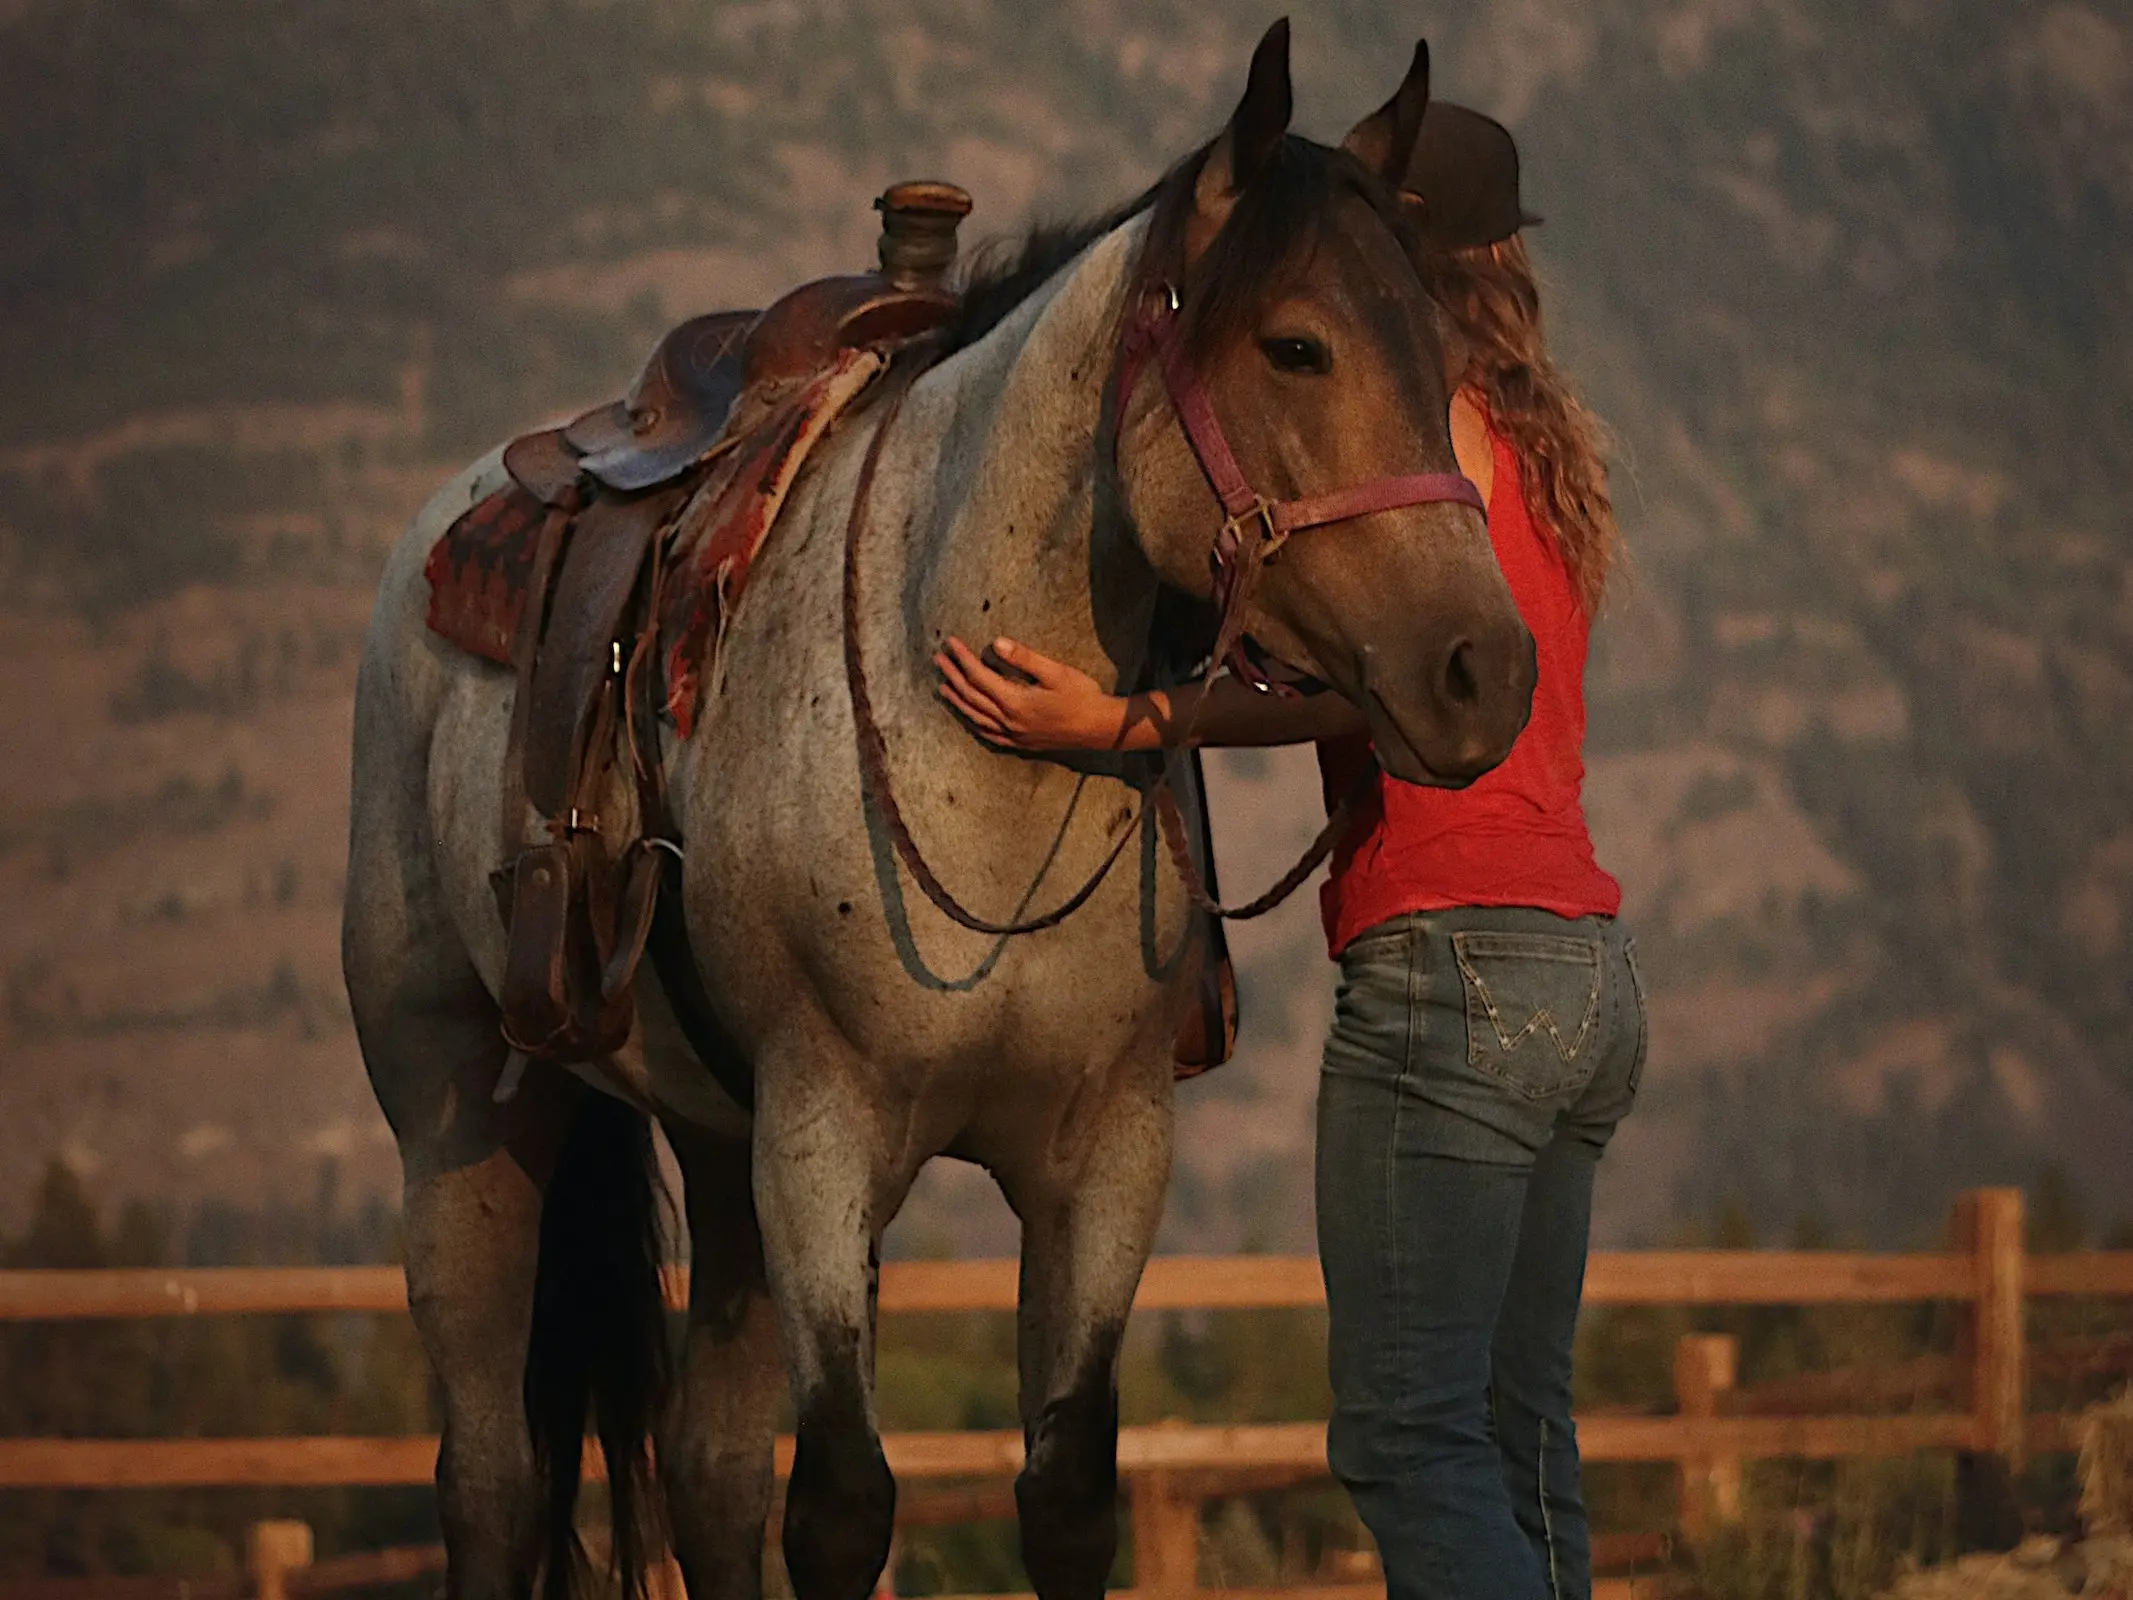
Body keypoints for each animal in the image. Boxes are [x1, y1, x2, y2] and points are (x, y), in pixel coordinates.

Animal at [337, 21, 1535, 1600]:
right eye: (1294, 344)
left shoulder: (1103, 1159)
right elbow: (845, 1501)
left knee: (712, 1475)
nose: (1485, 670)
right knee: (488, 1481)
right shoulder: (823, 1139)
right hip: (458, 1113)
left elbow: (1066, 1492)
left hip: (714, 1148)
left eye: (1450, 361)